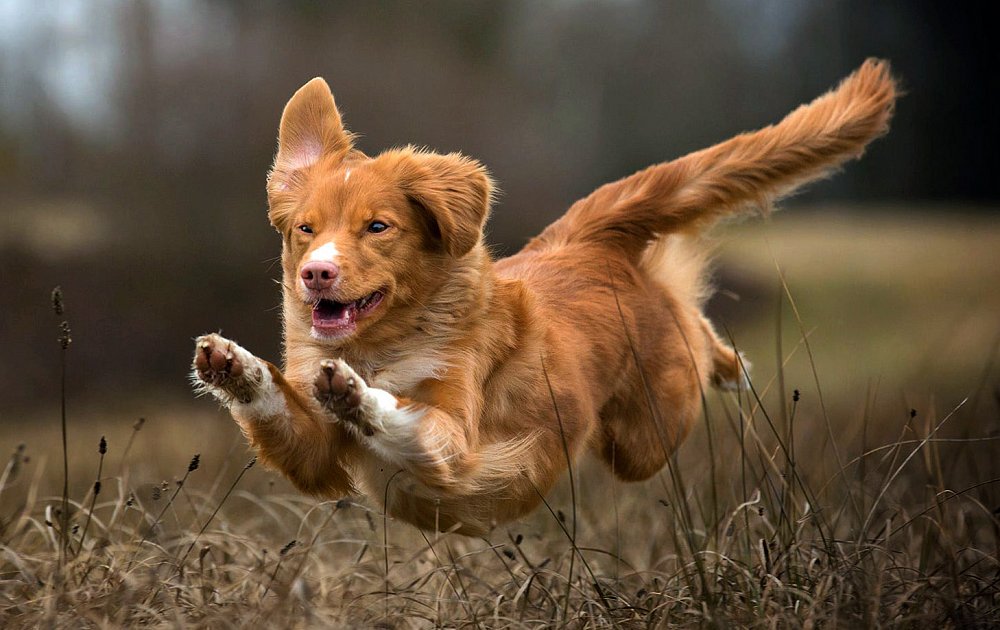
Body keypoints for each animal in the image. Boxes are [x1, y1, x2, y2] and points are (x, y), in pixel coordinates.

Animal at [191, 59, 896, 536]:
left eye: (377, 227)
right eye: (306, 229)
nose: (315, 274)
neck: (385, 344)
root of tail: (582, 240)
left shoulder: (452, 443)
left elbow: (408, 416)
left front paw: (356, 395)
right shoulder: (317, 460)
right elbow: (282, 410)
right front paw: (233, 364)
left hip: (646, 432)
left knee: (689, 316)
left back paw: (728, 363)